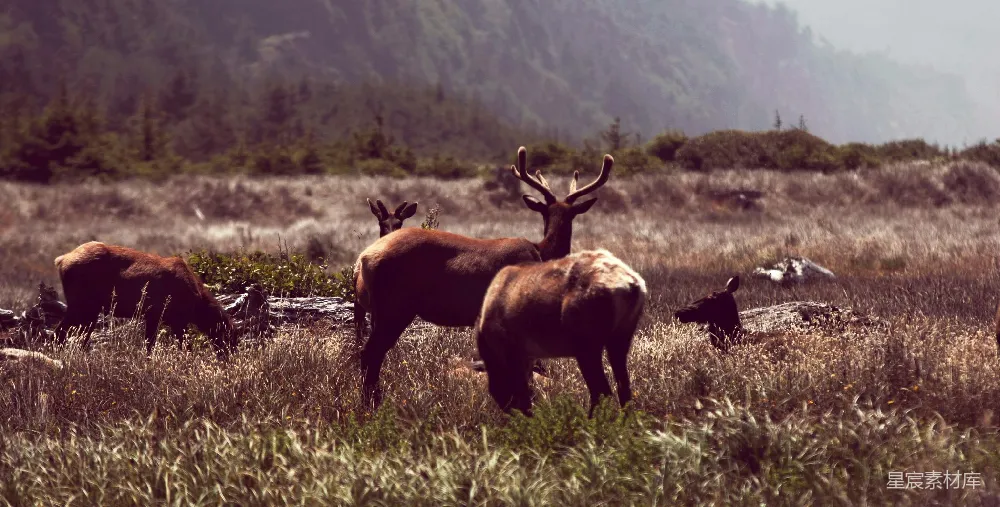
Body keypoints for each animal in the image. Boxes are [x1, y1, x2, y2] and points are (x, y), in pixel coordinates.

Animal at [53, 241, 237, 358]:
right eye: (229, 337)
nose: (229, 359)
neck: (197, 305)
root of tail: (61, 260)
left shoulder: (154, 317)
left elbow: (149, 346)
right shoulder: (177, 320)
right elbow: (184, 348)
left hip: (89, 309)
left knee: (78, 336)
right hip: (81, 304)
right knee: (60, 332)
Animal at [475, 249, 647, 417]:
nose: (509, 411)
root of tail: (631, 285)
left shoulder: (512, 352)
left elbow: (524, 396)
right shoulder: (526, 357)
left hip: (587, 348)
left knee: (601, 391)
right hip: (620, 339)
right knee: (623, 389)